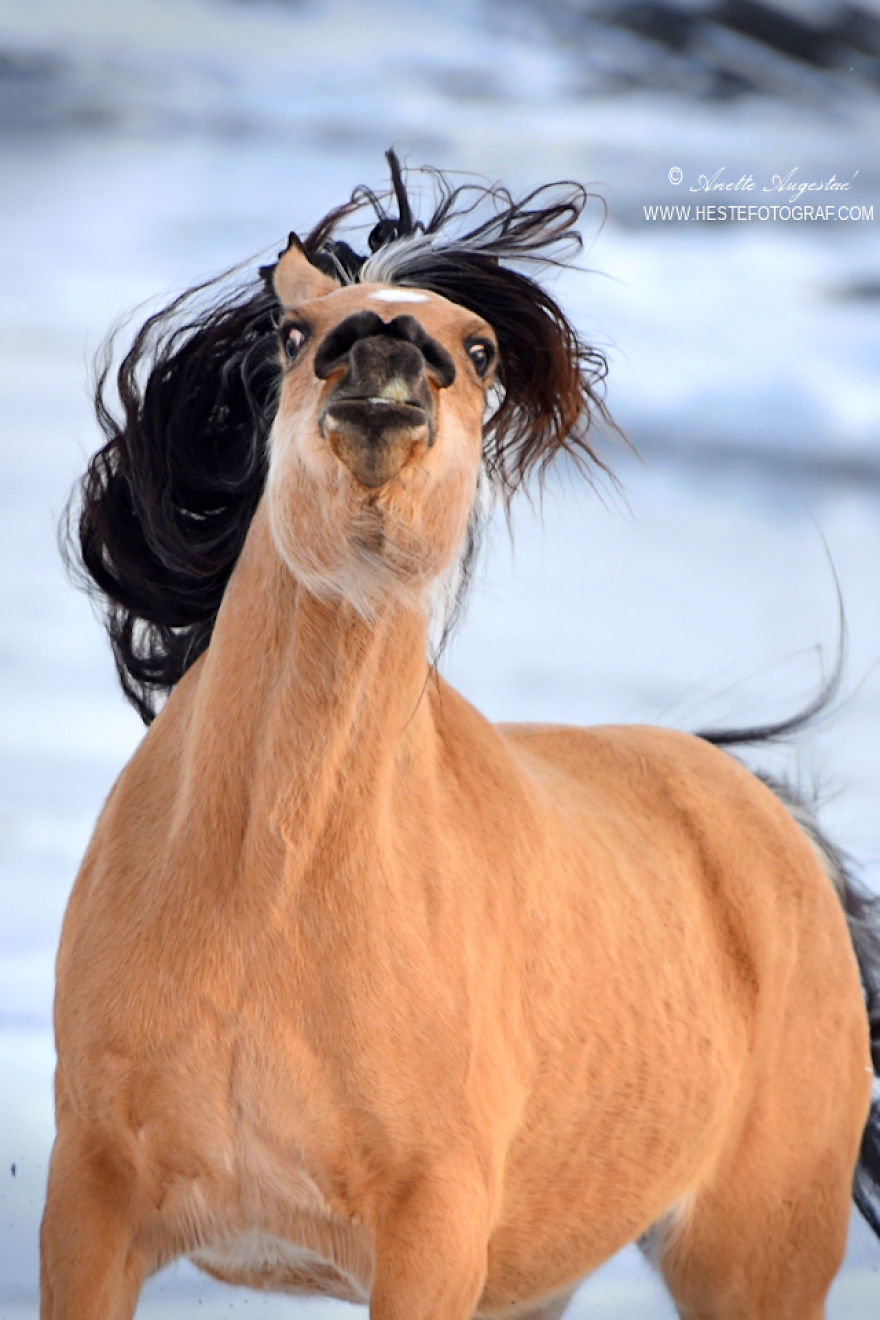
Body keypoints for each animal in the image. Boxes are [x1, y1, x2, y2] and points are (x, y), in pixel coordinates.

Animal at [42, 152, 880, 1320]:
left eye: (476, 349)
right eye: (295, 333)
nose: (385, 351)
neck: (269, 891)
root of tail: (766, 816)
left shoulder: (431, 1234)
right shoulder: (91, 1205)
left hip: (755, 1257)